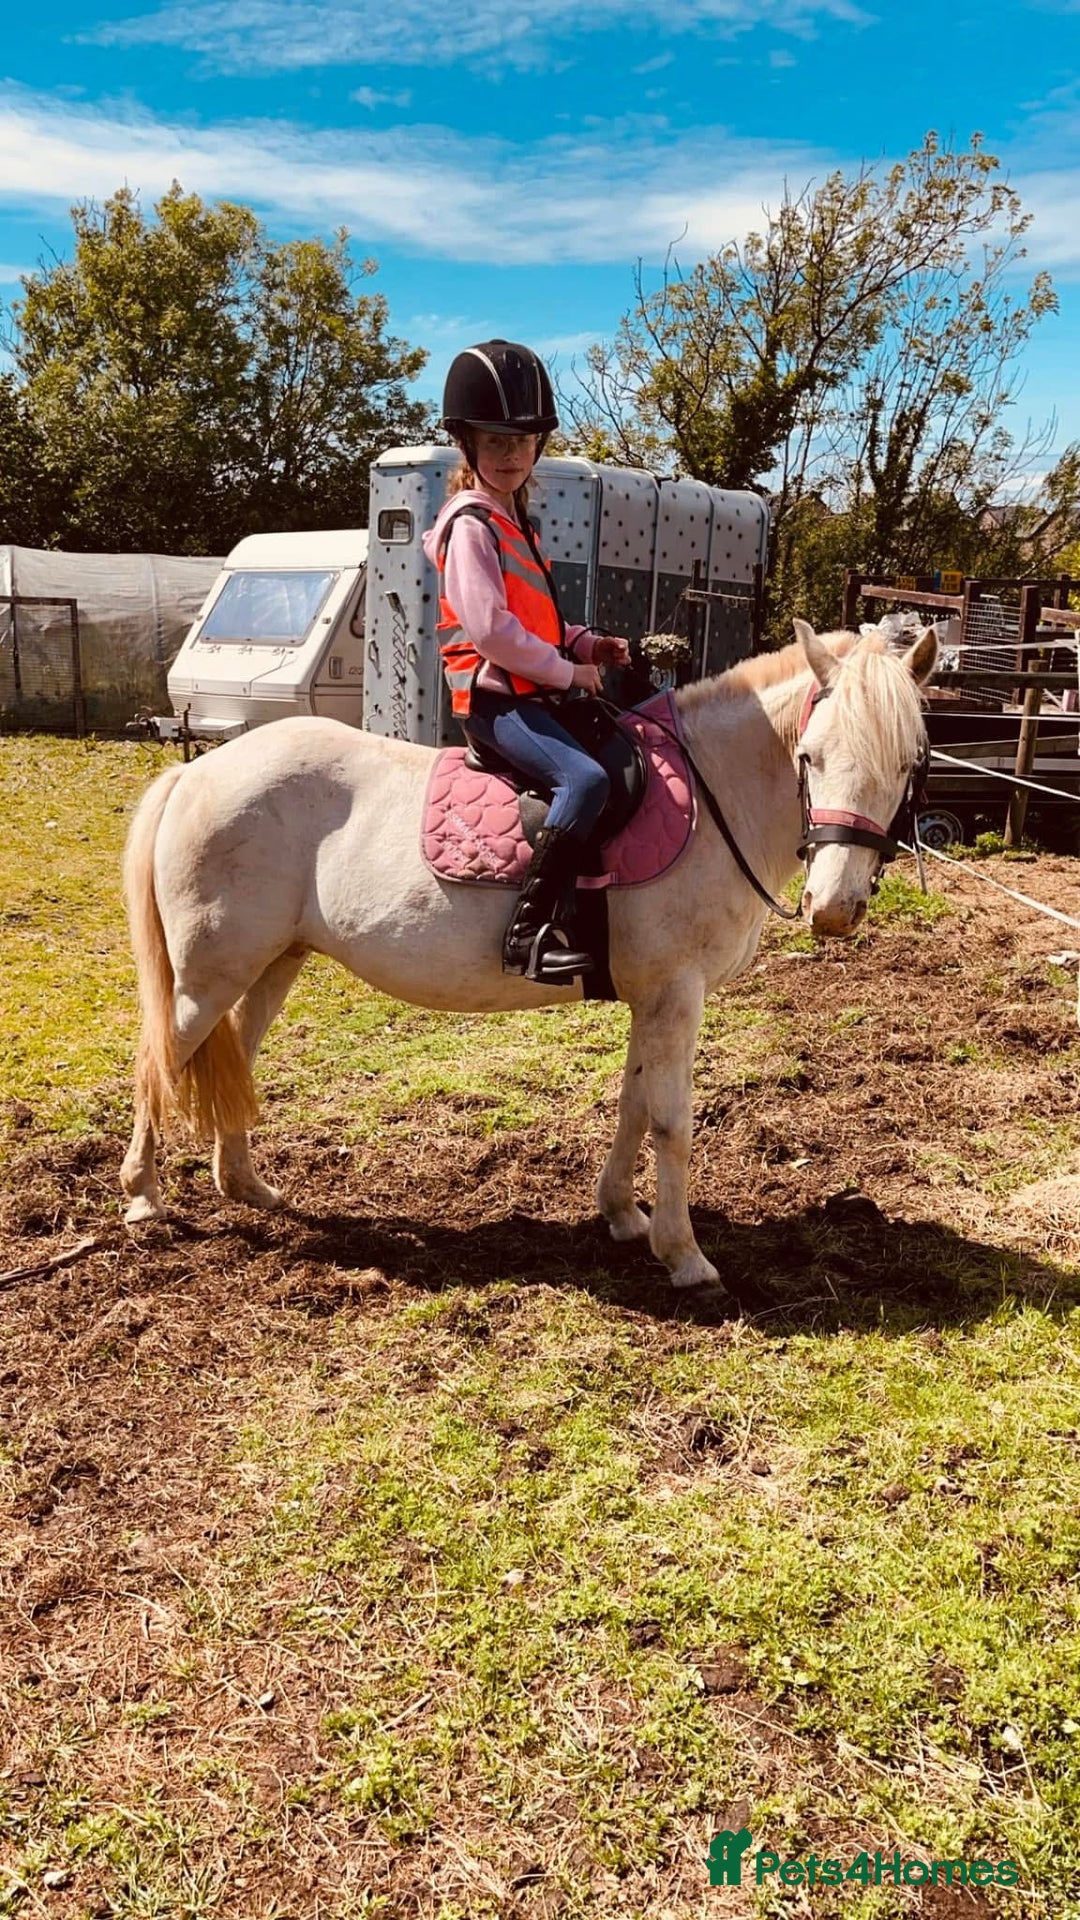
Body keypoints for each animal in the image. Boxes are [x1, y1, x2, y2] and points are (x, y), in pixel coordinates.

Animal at [120, 618, 937, 1292]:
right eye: (810, 756)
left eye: (907, 764)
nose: (833, 908)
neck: (709, 798)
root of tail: (196, 772)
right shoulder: (678, 993)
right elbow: (671, 1120)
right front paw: (685, 1256)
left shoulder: (652, 997)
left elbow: (633, 1104)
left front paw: (623, 1216)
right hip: (207, 977)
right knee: (161, 1060)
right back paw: (142, 1198)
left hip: (272, 963)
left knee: (236, 1059)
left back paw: (246, 1186)